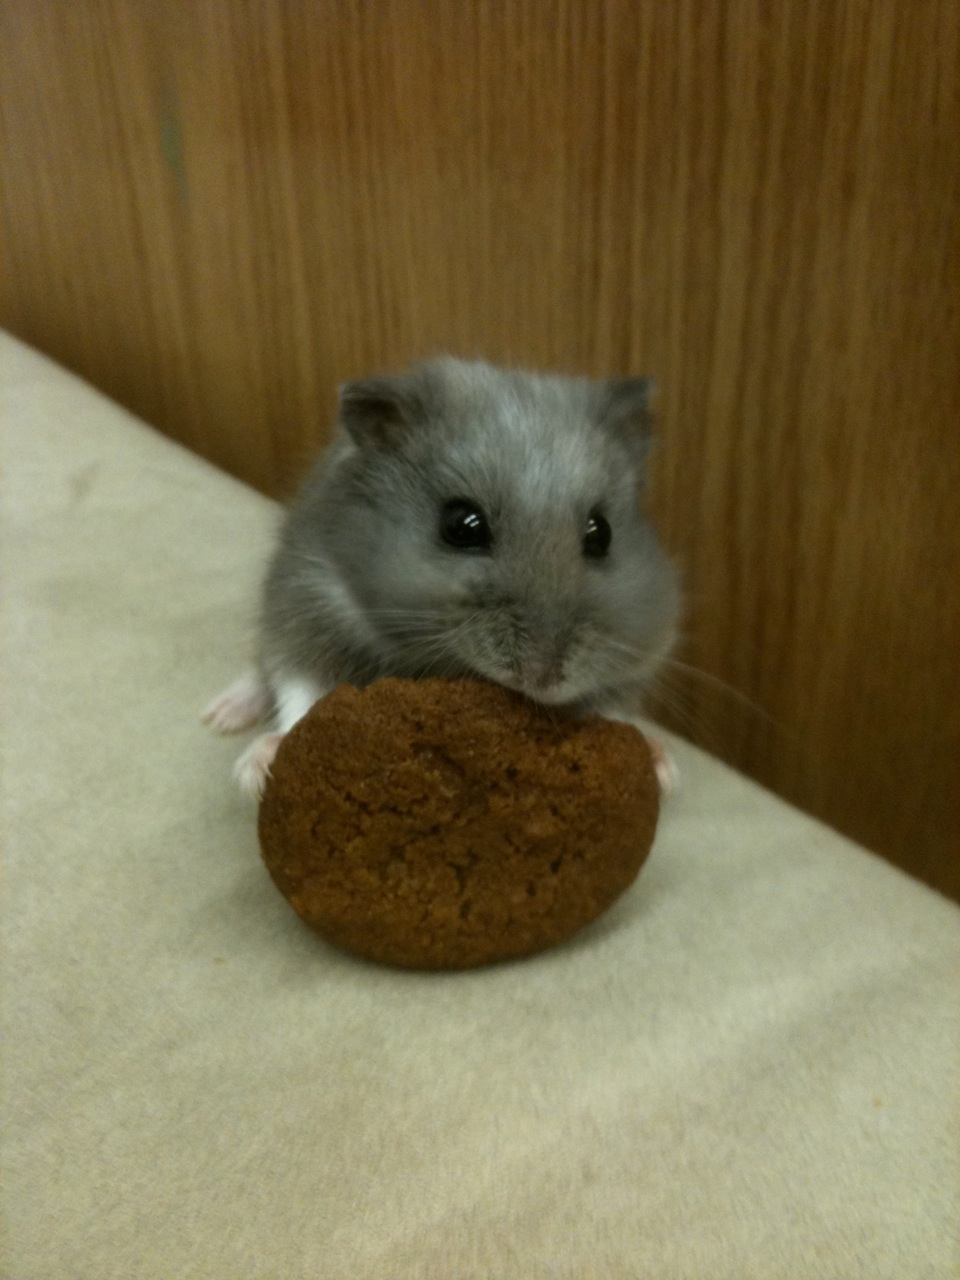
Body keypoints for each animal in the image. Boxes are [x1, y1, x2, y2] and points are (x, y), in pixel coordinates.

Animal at [204, 357, 681, 795]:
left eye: (602, 533)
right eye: (462, 526)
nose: (541, 679)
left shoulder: (642, 652)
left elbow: (615, 707)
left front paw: (665, 768)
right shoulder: (305, 609)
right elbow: (301, 691)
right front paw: (258, 770)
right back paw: (219, 716)